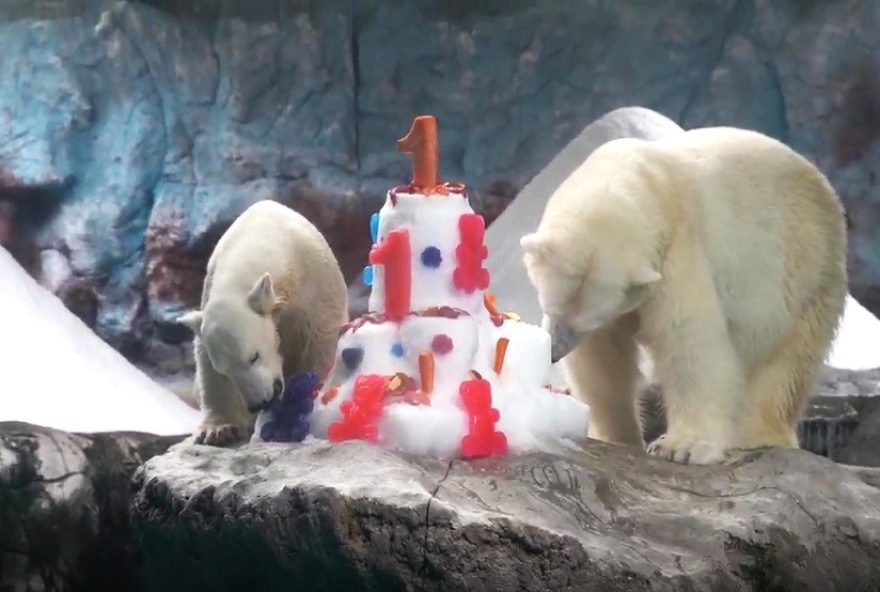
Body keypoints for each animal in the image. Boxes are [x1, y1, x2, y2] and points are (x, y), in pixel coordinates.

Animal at [178, 200, 348, 446]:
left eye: (254, 356)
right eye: (225, 371)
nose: (259, 403)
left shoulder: (314, 287)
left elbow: (318, 344)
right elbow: (206, 366)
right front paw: (217, 430)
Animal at [520, 126, 848, 464]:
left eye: (587, 321)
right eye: (551, 307)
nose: (554, 351)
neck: (645, 179)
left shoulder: (678, 248)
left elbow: (688, 341)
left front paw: (681, 447)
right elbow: (603, 360)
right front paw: (616, 437)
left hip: (807, 269)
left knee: (786, 362)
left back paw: (757, 435)